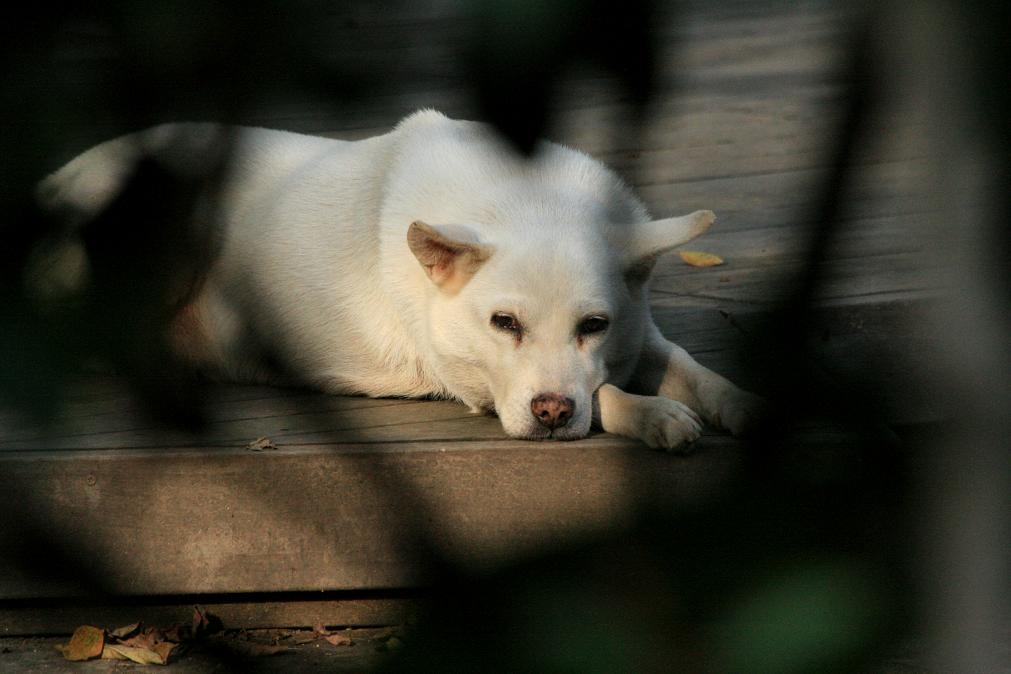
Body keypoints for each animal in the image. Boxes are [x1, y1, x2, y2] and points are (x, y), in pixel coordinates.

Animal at [39, 109, 764, 448]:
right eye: (504, 324)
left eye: (593, 325)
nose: (552, 414)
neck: (525, 199)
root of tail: (52, 180)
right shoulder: (480, 387)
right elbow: (605, 394)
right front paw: (651, 414)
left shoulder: (640, 337)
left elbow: (687, 366)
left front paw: (740, 402)